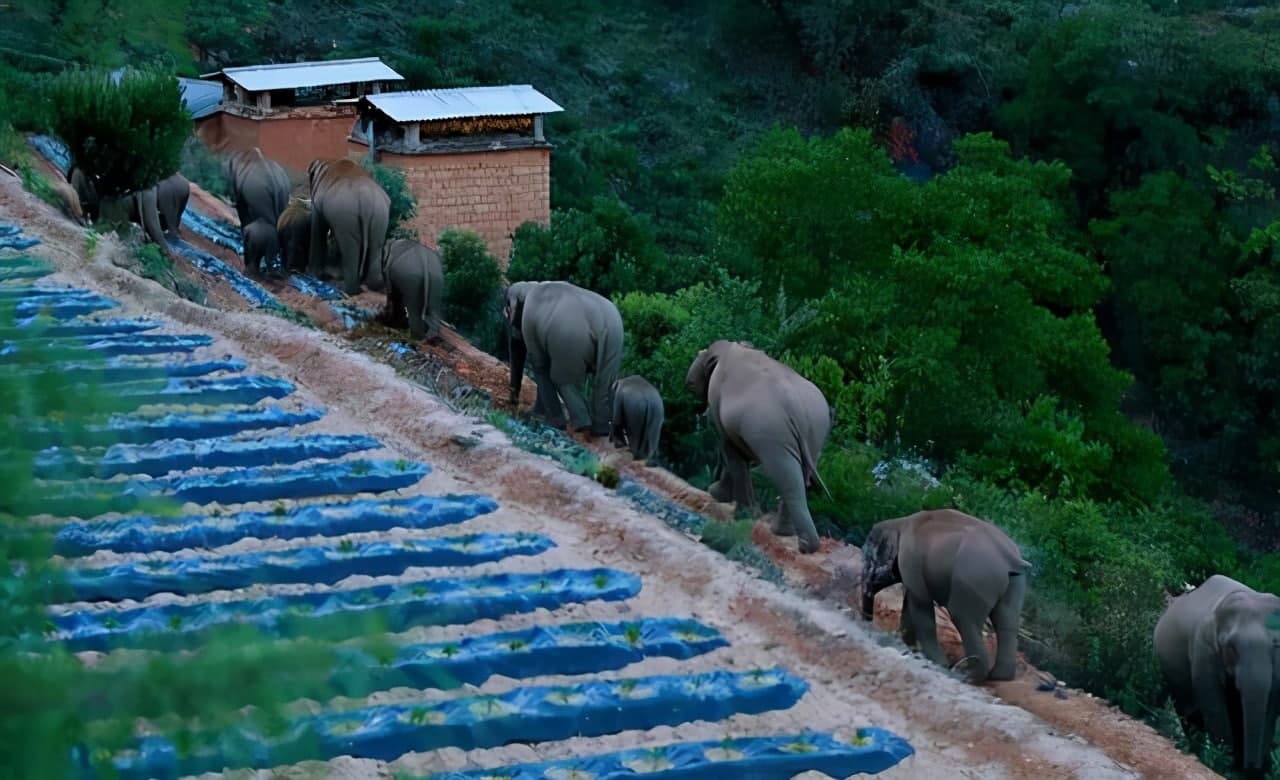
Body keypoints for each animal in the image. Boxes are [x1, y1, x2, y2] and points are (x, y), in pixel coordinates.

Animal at [307, 156, 386, 293]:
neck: (330, 161)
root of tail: (365, 198)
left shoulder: (318, 203)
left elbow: (318, 228)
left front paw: (313, 274)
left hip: (345, 214)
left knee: (349, 248)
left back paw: (345, 289)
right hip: (380, 213)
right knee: (376, 245)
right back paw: (374, 285)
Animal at [501, 281, 622, 438]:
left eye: (508, 313)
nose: (513, 403)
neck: (530, 285)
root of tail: (600, 325)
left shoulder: (530, 323)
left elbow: (540, 365)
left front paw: (538, 417)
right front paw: (538, 415)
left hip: (568, 341)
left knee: (561, 379)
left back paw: (578, 426)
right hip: (613, 341)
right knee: (603, 383)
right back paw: (600, 432)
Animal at [686, 340, 834, 553]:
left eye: (703, 352)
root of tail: (796, 406)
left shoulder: (718, 402)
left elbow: (731, 451)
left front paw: (739, 511)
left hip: (771, 430)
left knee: (785, 475)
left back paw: (801, 543)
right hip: (815, 432)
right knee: (799, 476)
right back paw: (791, 537)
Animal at [860, 504, 1029, 681]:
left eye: (867, 560)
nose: (867, 623)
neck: (899, 522)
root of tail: (1009, 557)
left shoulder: (910, 559)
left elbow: (921, 603)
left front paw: (939, 662)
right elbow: (911, 602)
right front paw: (908, 645)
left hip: (973, 579)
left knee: (963, 617)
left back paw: (966, 674)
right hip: (1014, 581)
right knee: (1007, 621)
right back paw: (999, 676)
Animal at [1152, 571, 1280, 773]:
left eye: (1276, 644)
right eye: (1230, 646)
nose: (1251, 767)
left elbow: (1270, 708)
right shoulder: (1203, 648)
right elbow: (1212, 701)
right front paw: (1224, 764)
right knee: (1188, 709)